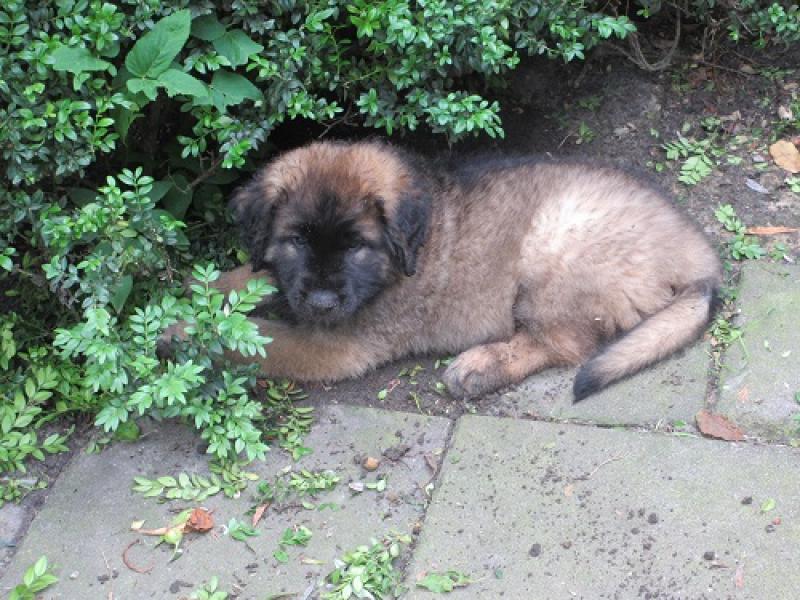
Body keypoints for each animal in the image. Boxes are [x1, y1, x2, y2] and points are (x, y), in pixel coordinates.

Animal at [214, 140, 724, 400]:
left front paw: (196, 335)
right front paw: (205, 289)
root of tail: (698, 255)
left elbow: (263, 341)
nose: (321, 303)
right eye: (296, 240)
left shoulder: (341, 345)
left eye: (357, 245)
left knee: (564, 345)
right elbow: (247, 281)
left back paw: (481, 367)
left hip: (554, 246)